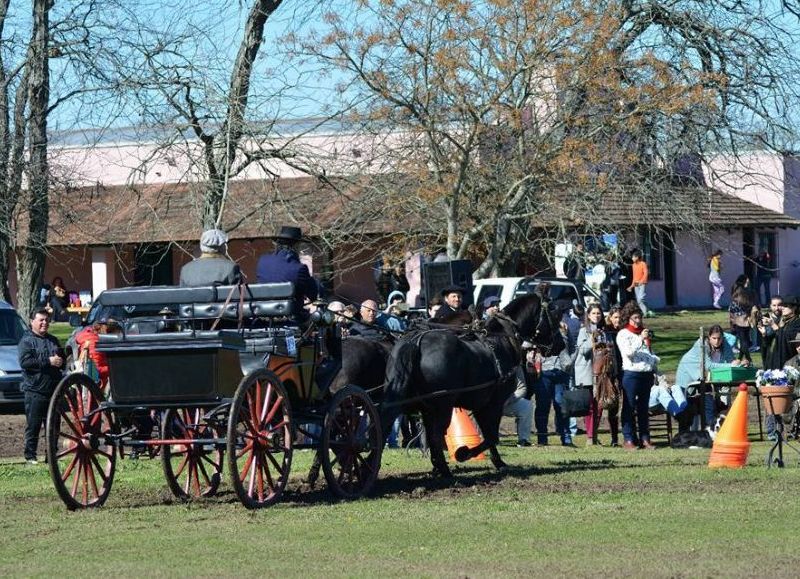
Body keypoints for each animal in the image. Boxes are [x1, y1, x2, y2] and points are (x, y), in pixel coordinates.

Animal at [382, 296, 560, 478]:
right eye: (553, 316)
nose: (561, 344)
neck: (501, 340)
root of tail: (416, 342)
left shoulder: (480, 405)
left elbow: (487, 434)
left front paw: (497, 461)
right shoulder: (494, 403)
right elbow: (491, 435)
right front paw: (466, 454)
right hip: (442, 406)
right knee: (436, 434)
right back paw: (444, 470)